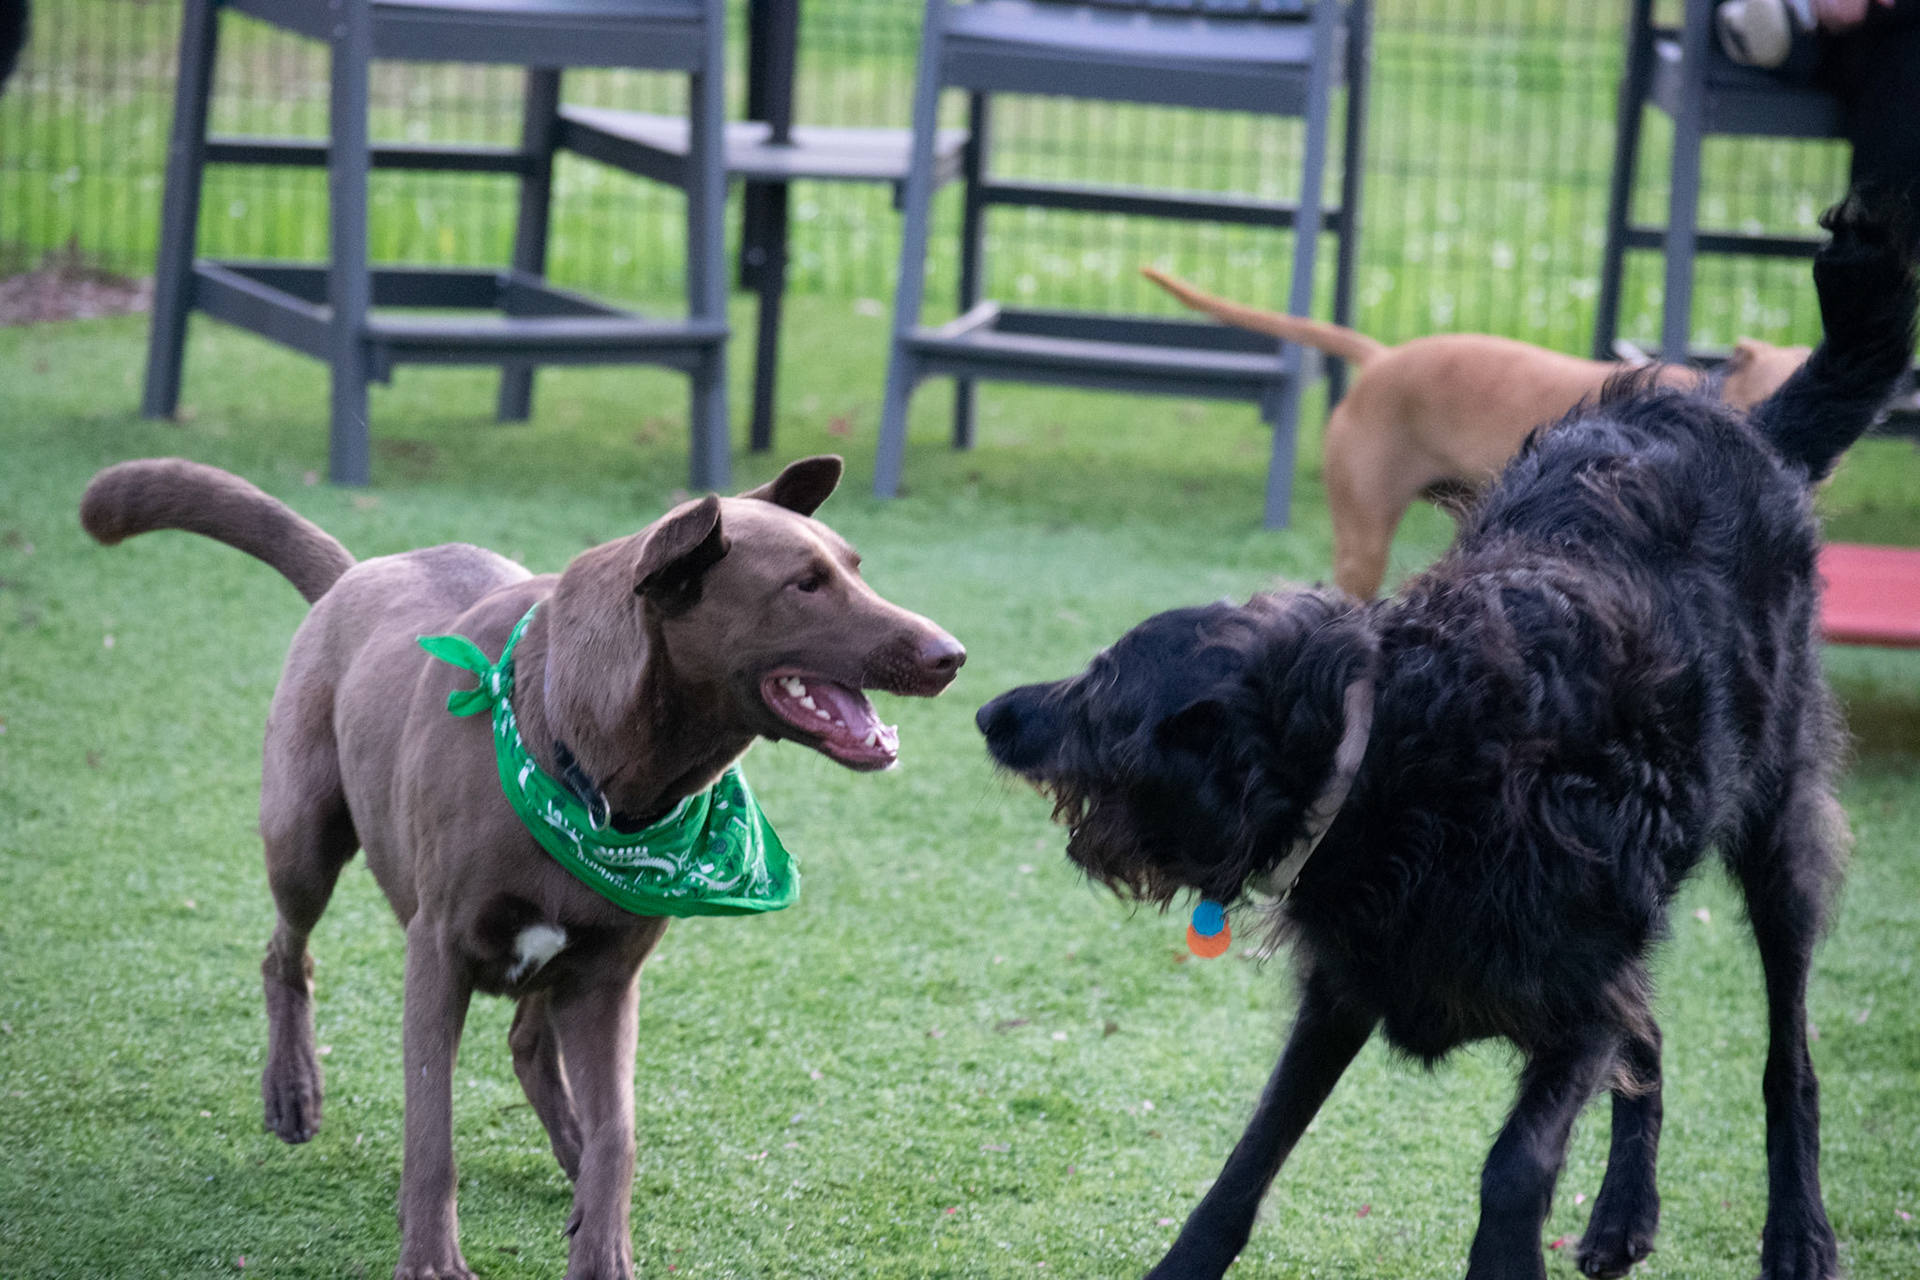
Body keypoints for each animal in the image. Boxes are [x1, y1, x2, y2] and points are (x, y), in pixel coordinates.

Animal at [81, 455, 964, 1280]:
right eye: (804, 585)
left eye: (855, 567)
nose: (951, 653)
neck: (589, 769)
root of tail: (355, 573)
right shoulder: (437, 953)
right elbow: (431, 1128)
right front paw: (430, 1258)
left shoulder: (608, 977)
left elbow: (618, 1133)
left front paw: (603, 1246)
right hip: (303, 836)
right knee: (284, 952)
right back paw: (293, 1090)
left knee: (529, 1043)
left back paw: (567, 1153)